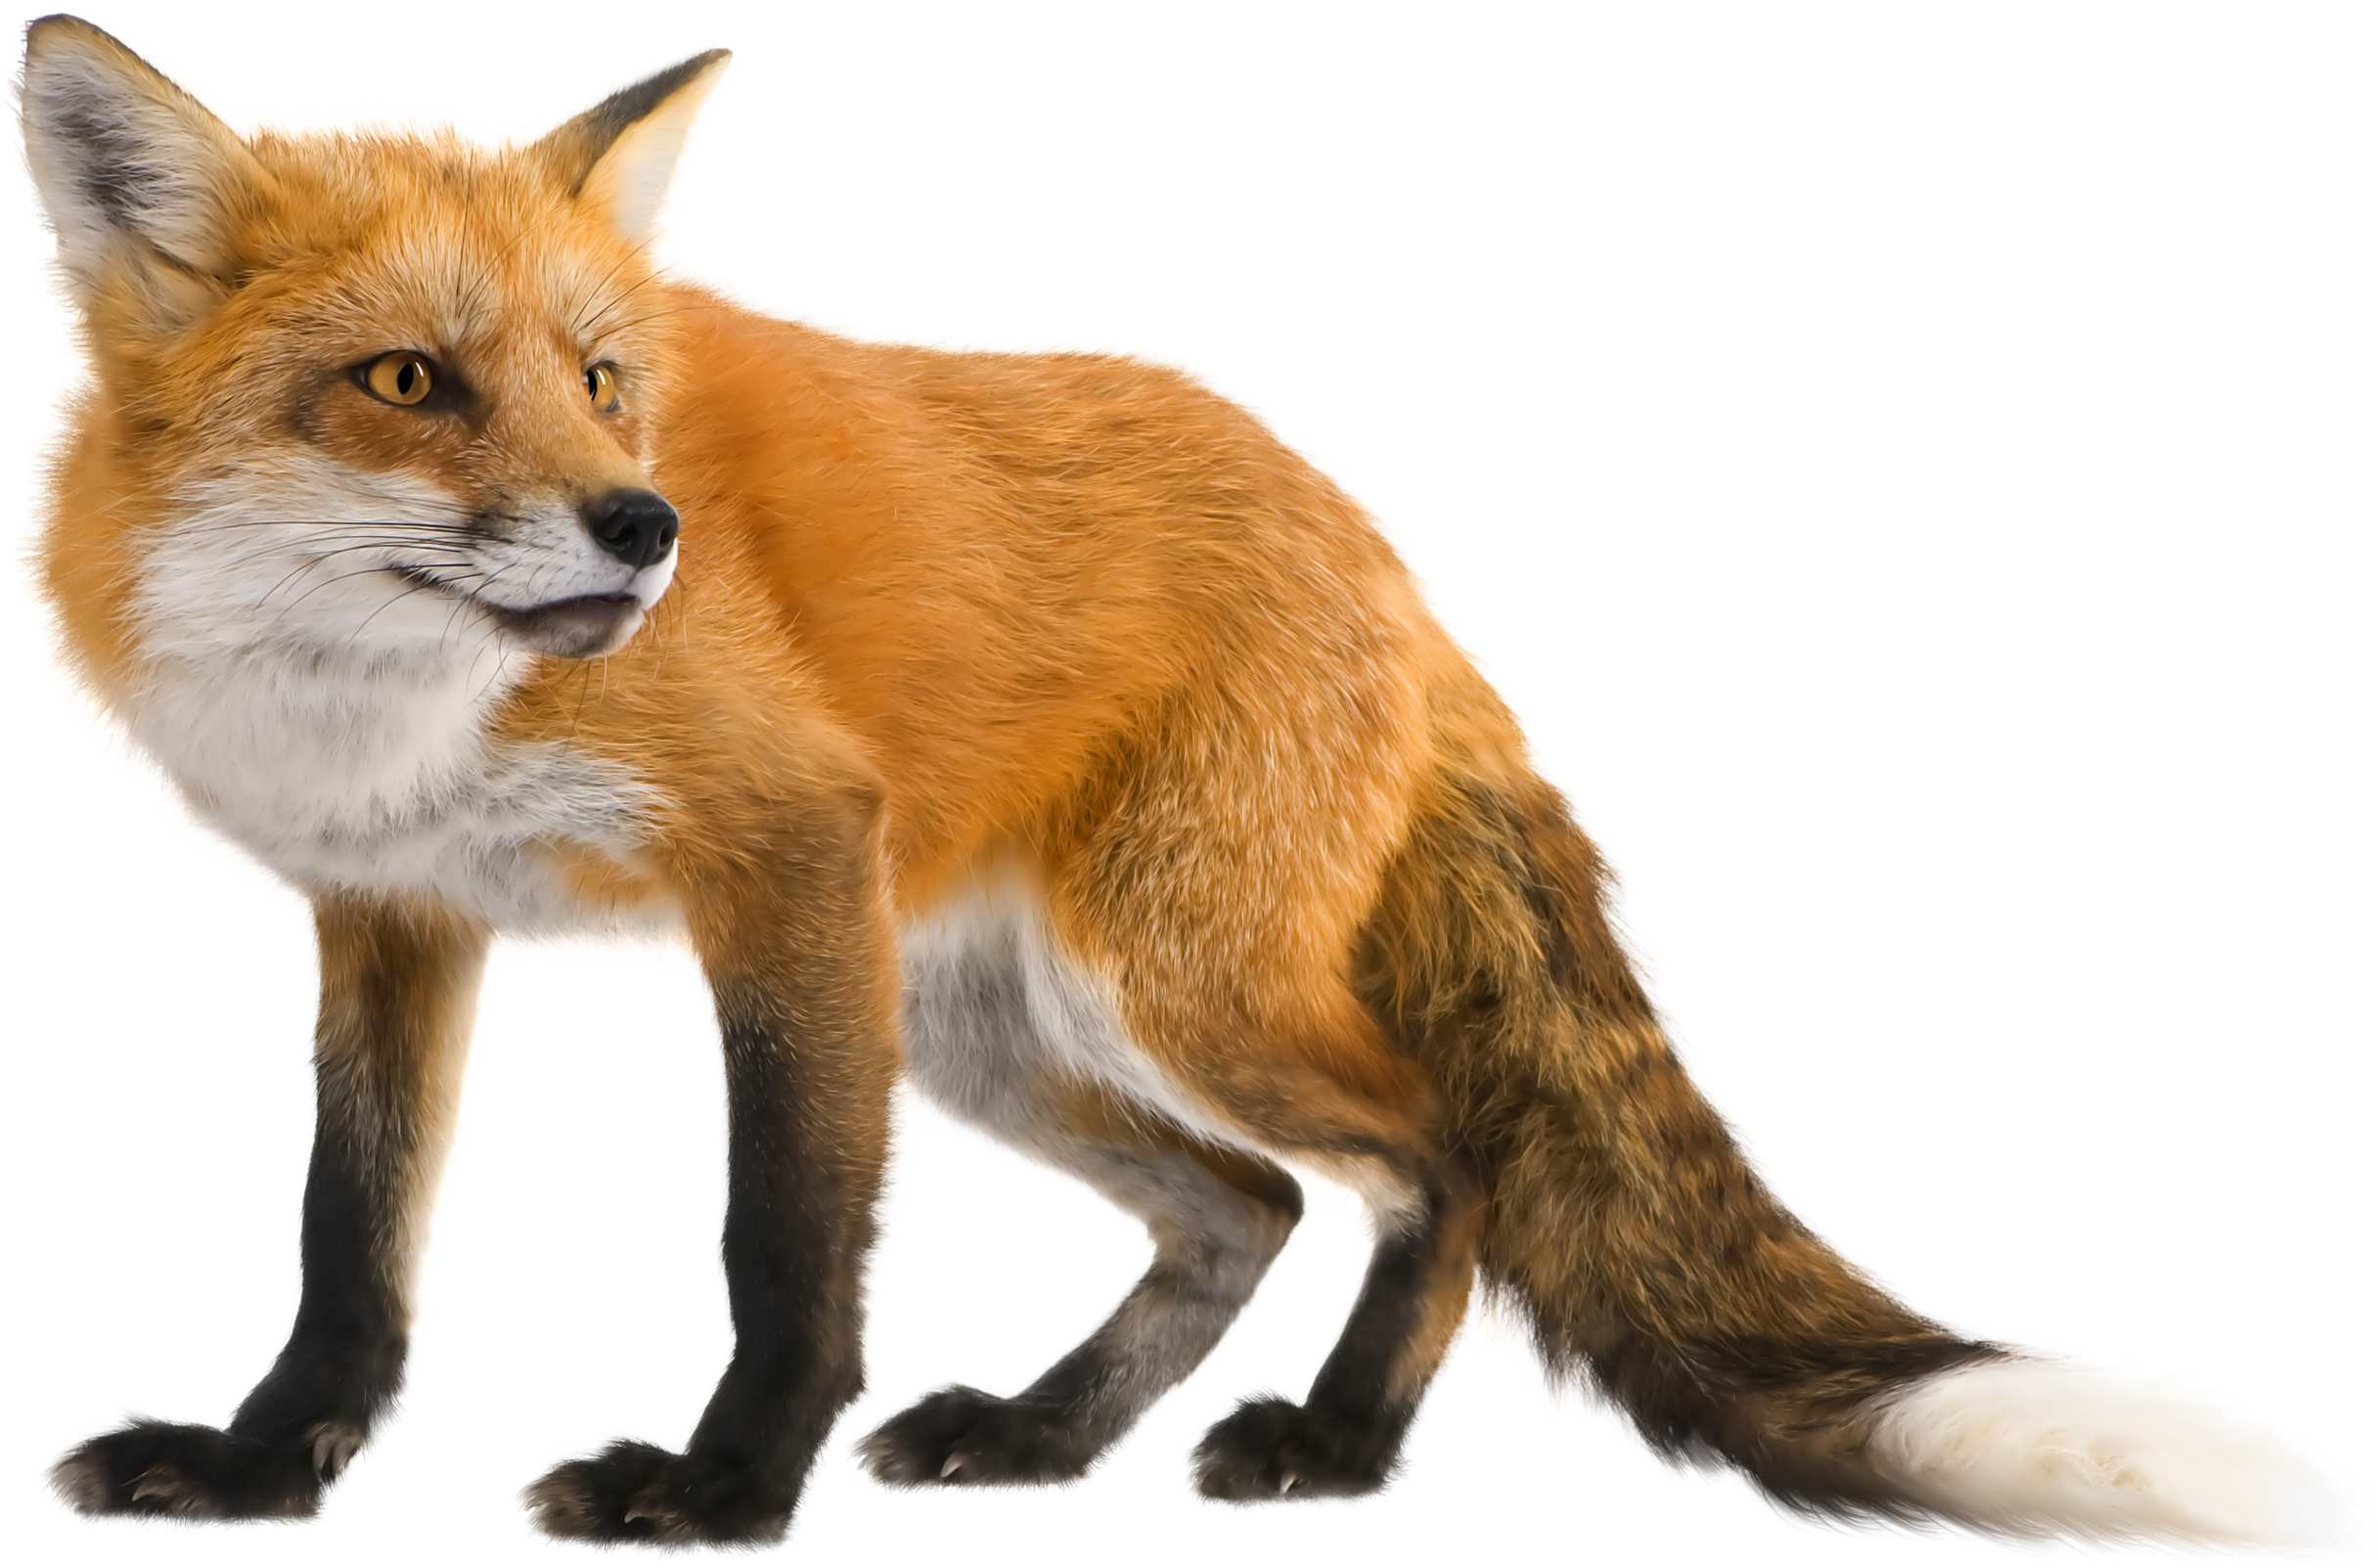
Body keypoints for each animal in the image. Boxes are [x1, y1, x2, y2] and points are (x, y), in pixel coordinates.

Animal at [8, 11, 2373, 1562]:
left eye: (602, 379)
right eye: (406, 379)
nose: (645, 526)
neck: (378, 705)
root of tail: (1373, 531)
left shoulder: (780, 855)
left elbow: (782, 1235)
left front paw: (726, 1489)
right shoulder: (391, 912)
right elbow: (344, 1227)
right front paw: (272, 1459)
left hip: (1153, 982)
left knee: (1441, 1165)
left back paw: (1336, 1442)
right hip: (982, 1021)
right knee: (1243, 1207)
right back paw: (1050, 1435)